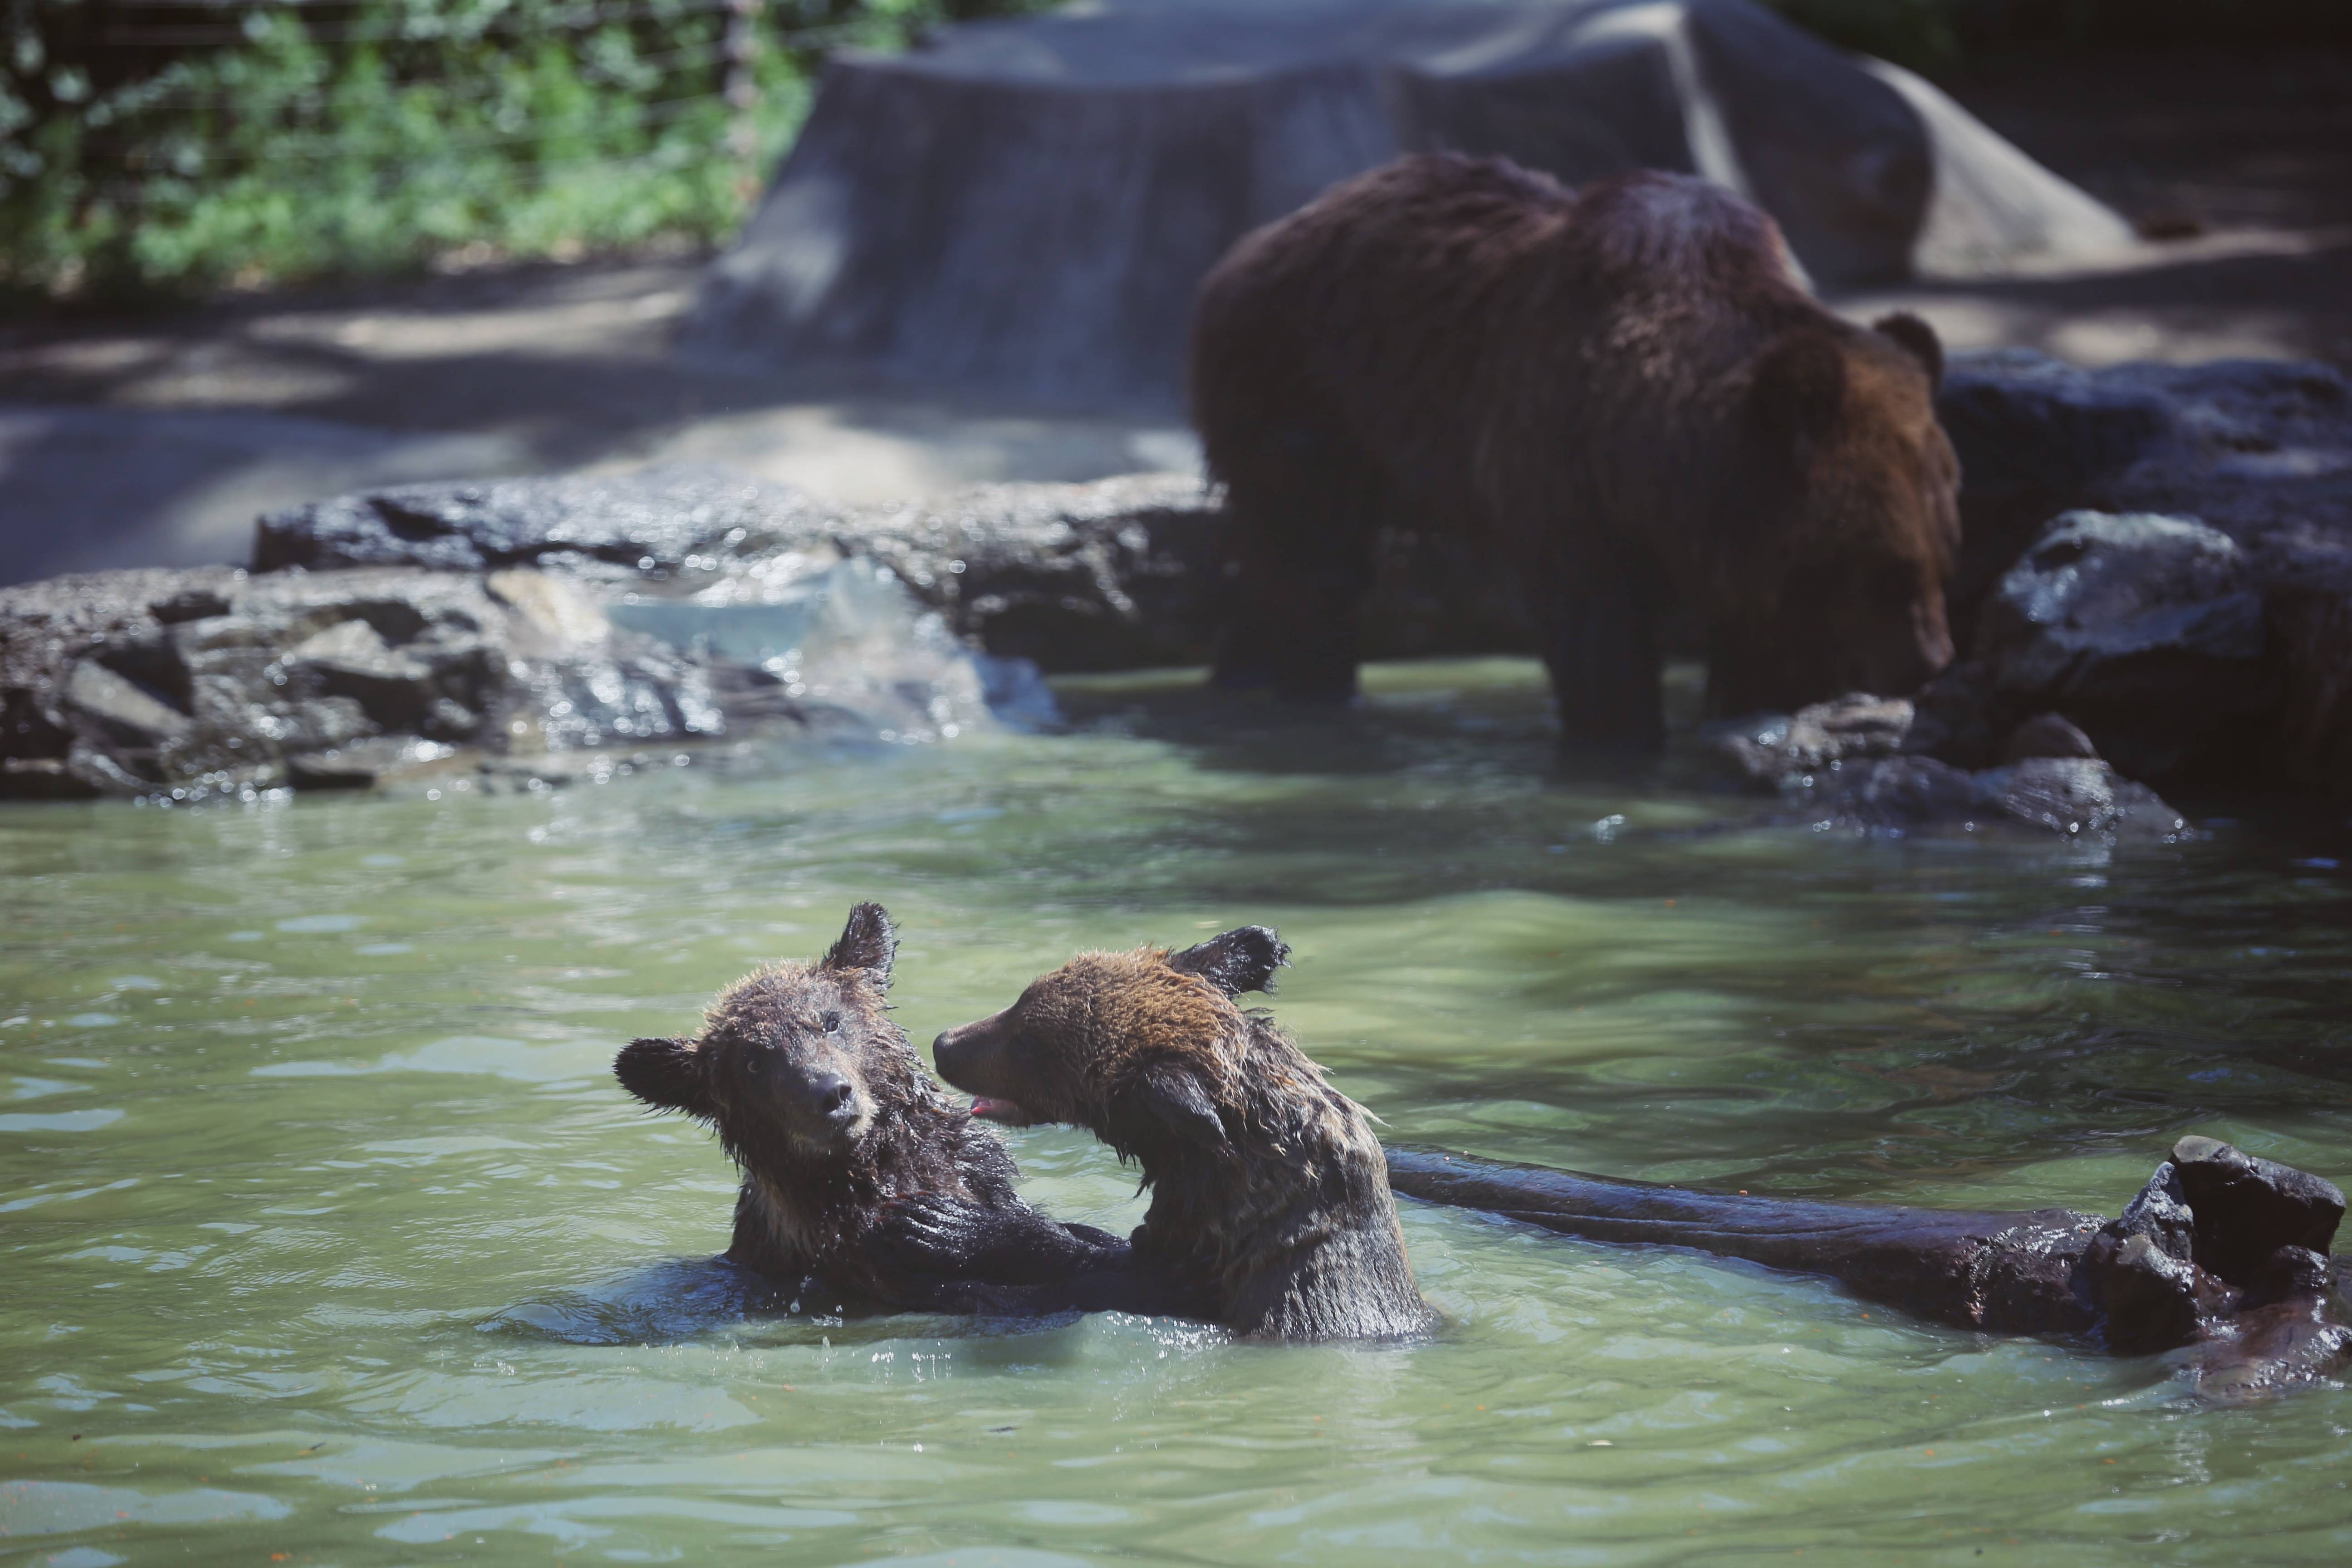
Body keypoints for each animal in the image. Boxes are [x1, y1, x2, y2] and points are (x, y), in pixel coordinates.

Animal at [1195, 156, 1966, 752]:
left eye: (1944, 550)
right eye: (1883, 568)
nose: (1928, 665)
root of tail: (1250, 246)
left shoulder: (1747, 549)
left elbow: (1764, 641)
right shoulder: (1562, 468)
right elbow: (1598, 640)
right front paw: (1621, 741)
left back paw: (1239, 673)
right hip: (1309, 398)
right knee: (1316, 563)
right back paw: (1311, 687)